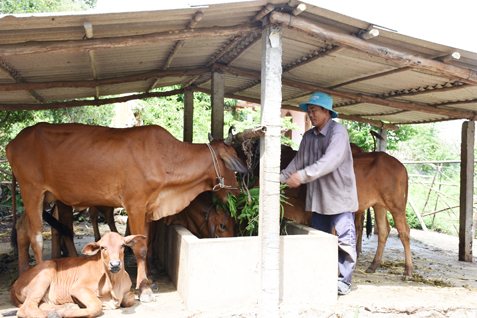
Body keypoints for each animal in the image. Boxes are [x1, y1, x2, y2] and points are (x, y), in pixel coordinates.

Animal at [6, 121, 245, 300]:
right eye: (233, 162)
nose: (237, 194)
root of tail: (12, 143)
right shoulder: (135, 206)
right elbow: (140, 248)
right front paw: (145, 289)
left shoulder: (148, 209)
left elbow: (146, 242)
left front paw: (149, 280)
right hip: (32, 191)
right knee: (36, 236)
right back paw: (38, 272)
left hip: (44, 197)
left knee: (22, 229)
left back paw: (23, 274)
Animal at [7, 231, 145, 318]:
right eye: (102, 247)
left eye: (123, 245)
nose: (115, 264)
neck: (114, 284)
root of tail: (15, 281)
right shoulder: (78, 288)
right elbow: (96, 306)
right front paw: (65, 313)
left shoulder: (127, 291)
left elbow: (129, 299)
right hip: (46, 270)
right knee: (25, 309)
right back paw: (55, 314)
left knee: (39, 304)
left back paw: (67, 306)